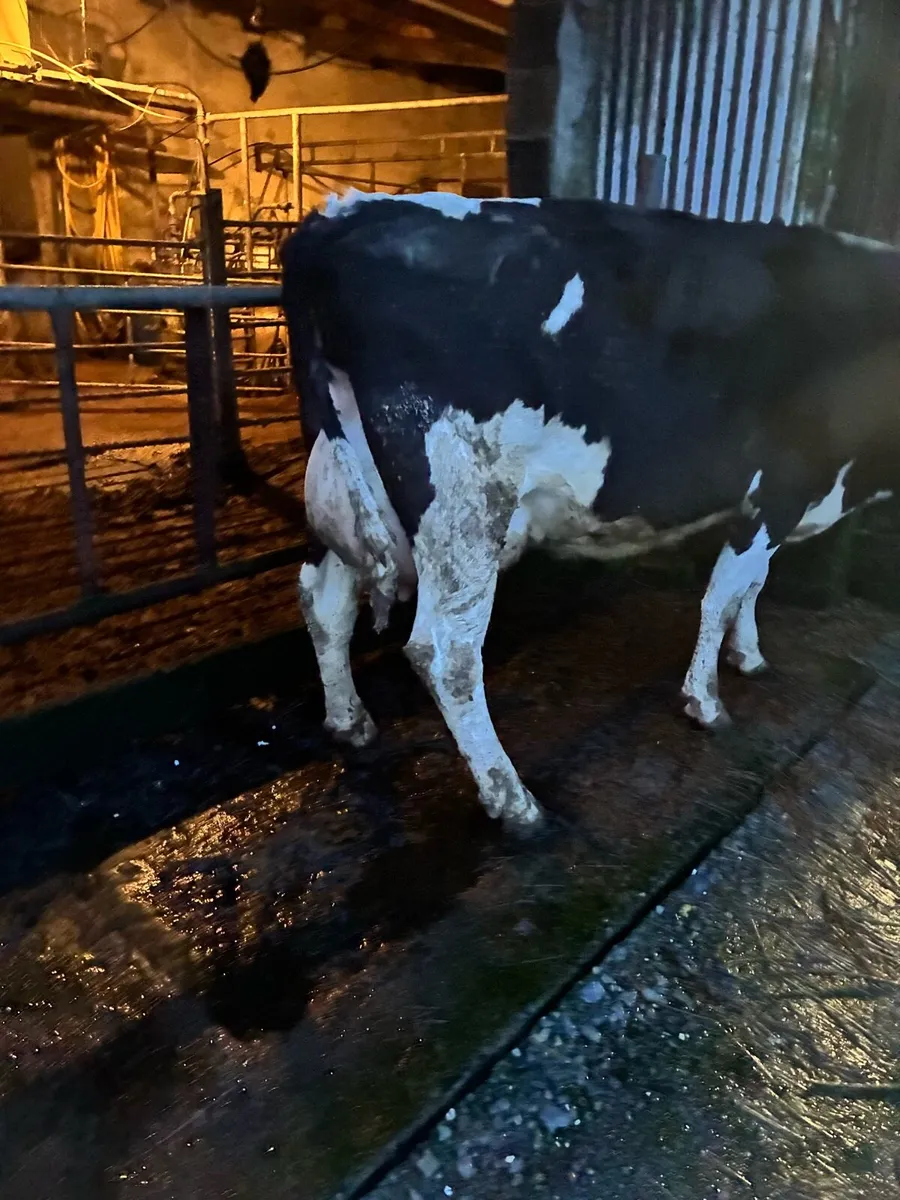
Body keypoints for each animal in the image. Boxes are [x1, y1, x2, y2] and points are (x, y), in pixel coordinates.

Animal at [281, 189, 899, 831]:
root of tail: (343, 215)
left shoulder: (778, 504)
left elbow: (751, 587)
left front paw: (747, 656)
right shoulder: (781, 489)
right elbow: (724, 595)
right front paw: (705, 701)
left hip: (343, 481)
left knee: (324, 601)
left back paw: (349, 721)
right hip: (462, 501)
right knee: (446, 651)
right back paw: (514, 800)